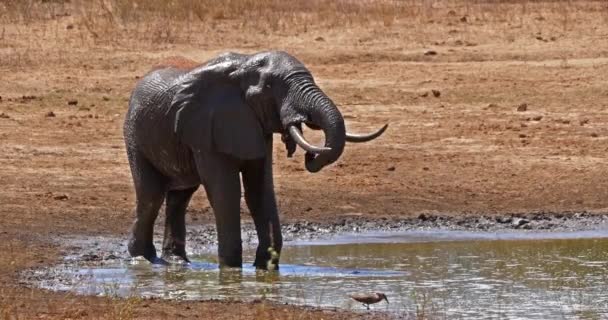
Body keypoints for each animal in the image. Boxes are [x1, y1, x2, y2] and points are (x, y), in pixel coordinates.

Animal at [124, 50, 388, 268]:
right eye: (271, 86)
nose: (309, 155)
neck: (243, 65)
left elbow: (260, 190)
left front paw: (265, 268)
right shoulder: (206, 129)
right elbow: (225, 192)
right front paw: (231, 271)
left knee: (180, 196)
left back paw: (177, 262)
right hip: (135, 136)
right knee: (151, 196)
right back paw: (142, 259)